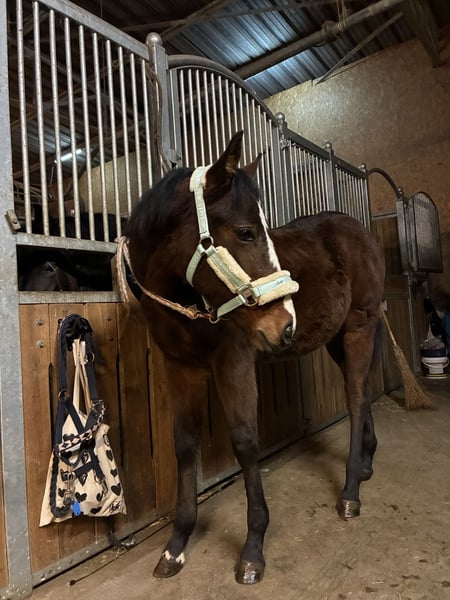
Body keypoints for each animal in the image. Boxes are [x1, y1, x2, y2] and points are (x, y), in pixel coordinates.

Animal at [124, 131, 385, 585]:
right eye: (245, 232)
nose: (285, 326)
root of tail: (362, 233)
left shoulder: (234, 362)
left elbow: (245, 443)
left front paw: (252, 550)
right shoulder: (182, 369)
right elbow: (184, 445)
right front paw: (176, 547)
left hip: (359, 329)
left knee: (355, 399)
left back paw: (351, 490)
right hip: (338, 339)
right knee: (365, 393)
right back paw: (366, 463)